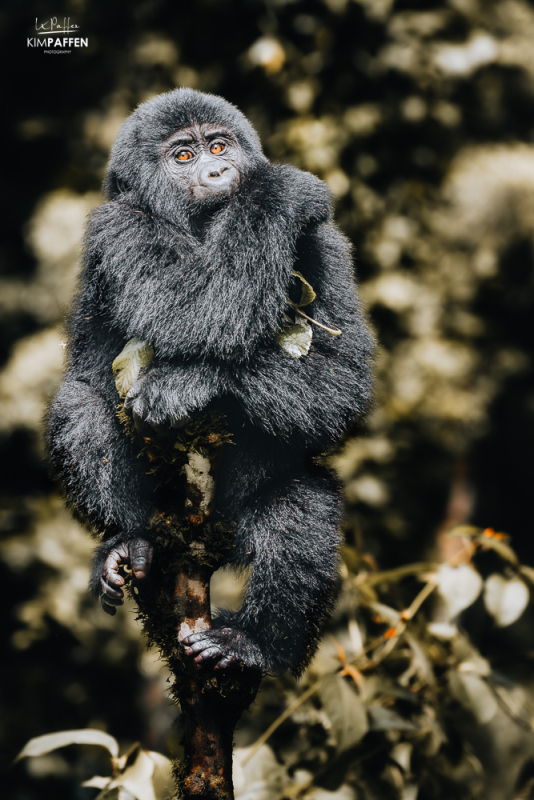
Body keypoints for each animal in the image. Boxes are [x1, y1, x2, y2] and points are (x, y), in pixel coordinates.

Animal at [47, 87, 376, 676]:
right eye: (183, 156)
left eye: (219, 145)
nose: (220, 170)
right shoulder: (117, 224)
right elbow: (195, 307)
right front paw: (277, 192)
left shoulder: (323, 240)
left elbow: (342, 376)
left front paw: (187, 385)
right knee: (79, 406)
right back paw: (128, 543)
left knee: (299, 501)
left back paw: (255, 643)